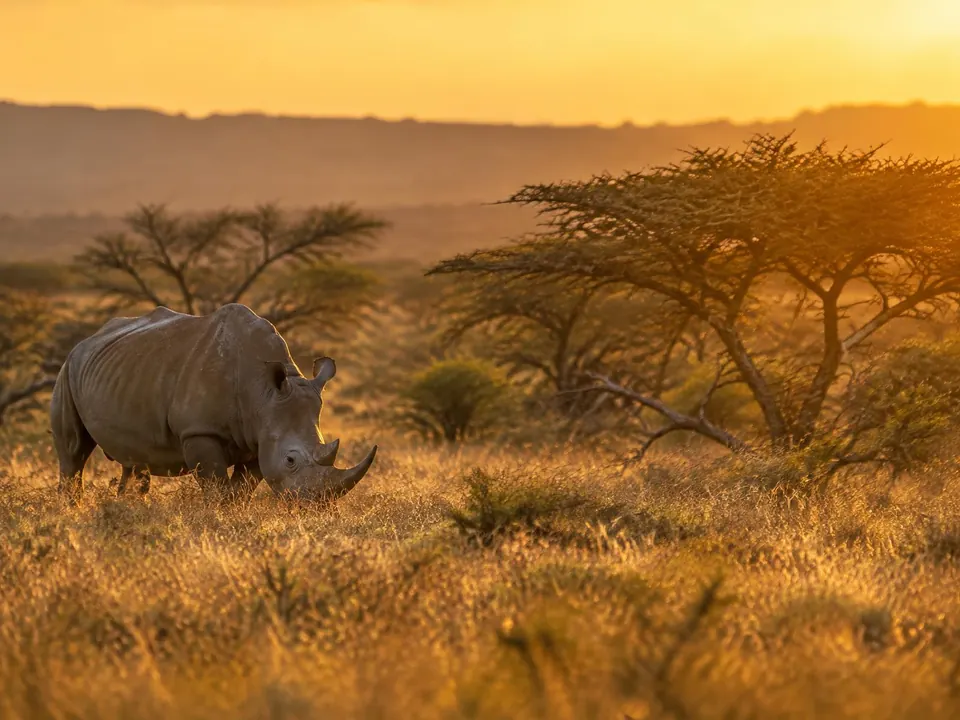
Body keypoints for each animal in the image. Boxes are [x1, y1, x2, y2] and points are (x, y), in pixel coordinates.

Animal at [50, 303, 377, 502]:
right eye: (291, 460)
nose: (316, 505)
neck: (263, 394)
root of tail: (88, 340)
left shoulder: (259, 437)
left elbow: (242, 487)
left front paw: (234, 514)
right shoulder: (199, 431)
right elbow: (216, 486)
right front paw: (218, 518)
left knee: (133, 459)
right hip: (67, 371)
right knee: (73, 451)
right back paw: (73, 509)